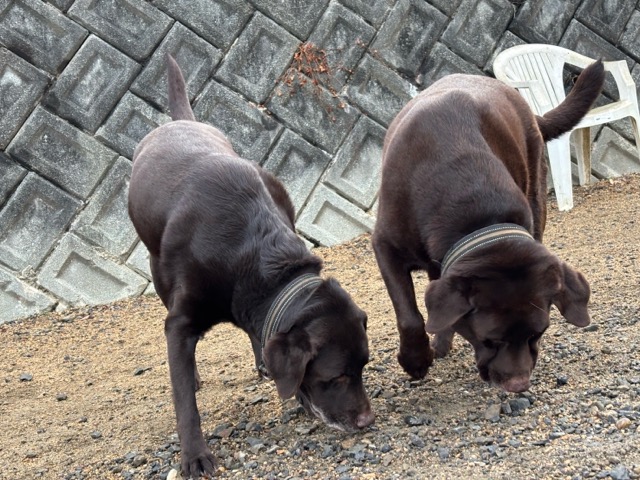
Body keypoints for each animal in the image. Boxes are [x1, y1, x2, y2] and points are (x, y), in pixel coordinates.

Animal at [128, 55, 374, 478]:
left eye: (364, 366)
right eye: (337, 376)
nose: (366, 422)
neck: (252, 253)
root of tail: (181, 122)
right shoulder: (181, 320)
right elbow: (184, 402)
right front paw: (194, 454)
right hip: (158, 272)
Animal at [372, 61, 605, 393]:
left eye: (538, 334)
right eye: (489, 339)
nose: (519, 385)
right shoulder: (385, 246)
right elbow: (409, 315)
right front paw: (415, 360)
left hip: (536, 194)